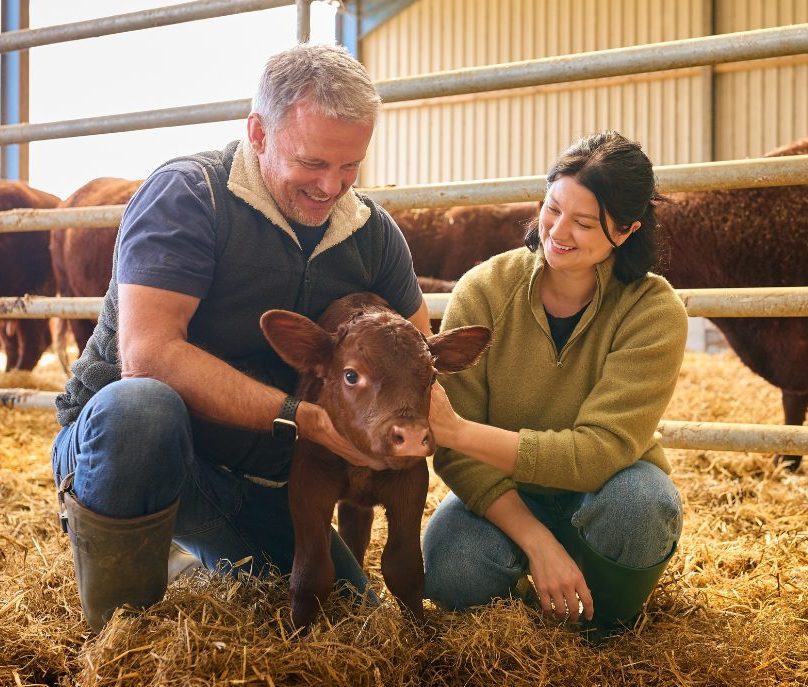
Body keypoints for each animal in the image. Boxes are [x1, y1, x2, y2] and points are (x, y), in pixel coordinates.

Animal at [260, 292, 491, 628]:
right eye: (351, 375)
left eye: (432, 376)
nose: (411, 435)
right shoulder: (308, 478)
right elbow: (311, 573)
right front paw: (296, 631)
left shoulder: (411, 482)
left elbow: (404, 568)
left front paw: (421, 630)